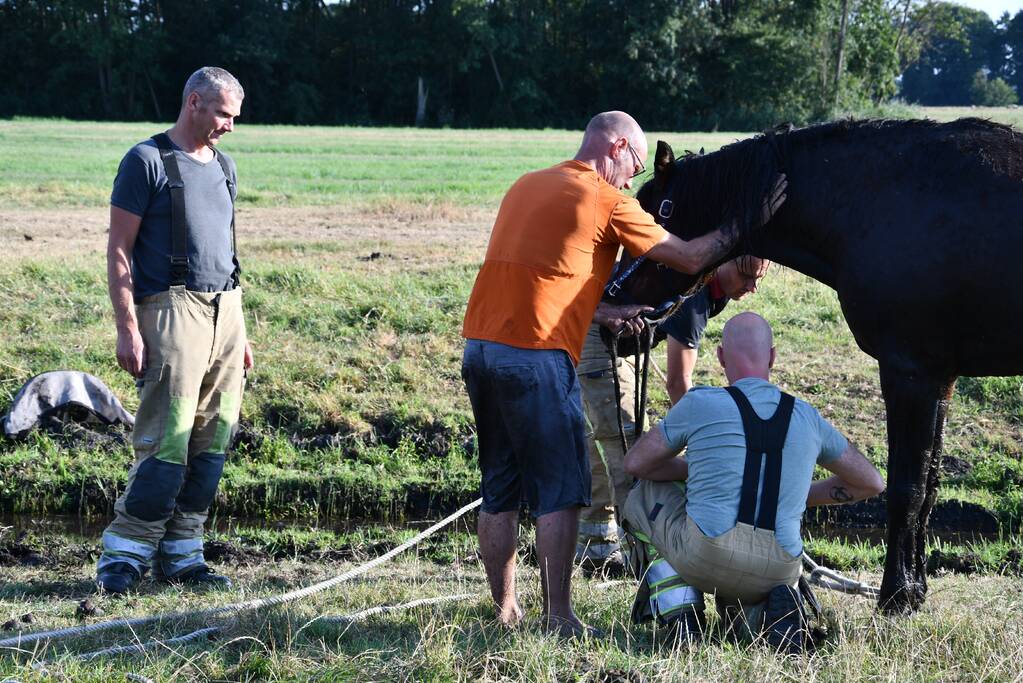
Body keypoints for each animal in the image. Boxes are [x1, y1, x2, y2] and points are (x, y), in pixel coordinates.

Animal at [616, 118, 1023, 613]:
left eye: (648, 220)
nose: (613, 307)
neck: (880, 203)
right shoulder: (940, 378)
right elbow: (928, 487)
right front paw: (915, 588)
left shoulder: (911, 373)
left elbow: (906, 488)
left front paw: (896, 594)